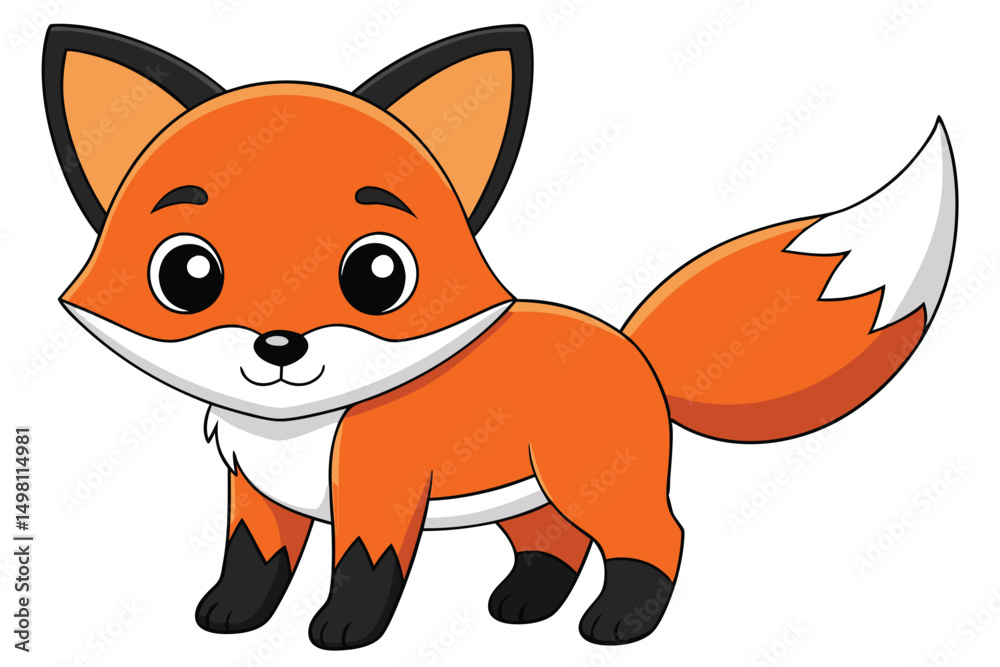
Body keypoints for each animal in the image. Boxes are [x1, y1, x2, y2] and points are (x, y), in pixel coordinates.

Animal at [43, 23, 957, 649]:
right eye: (186, 274)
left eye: (379, 273)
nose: (279, 346)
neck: (296, 432)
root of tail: (633, 348)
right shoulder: (257, 496)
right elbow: (253, 562)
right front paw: (231, 615)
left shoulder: (380, 494)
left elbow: (364, 570)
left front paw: (343, 630)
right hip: (529, 492)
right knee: (555, 544)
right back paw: (526, 605)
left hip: (592, 480)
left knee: (655, 537)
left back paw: (620, 621)